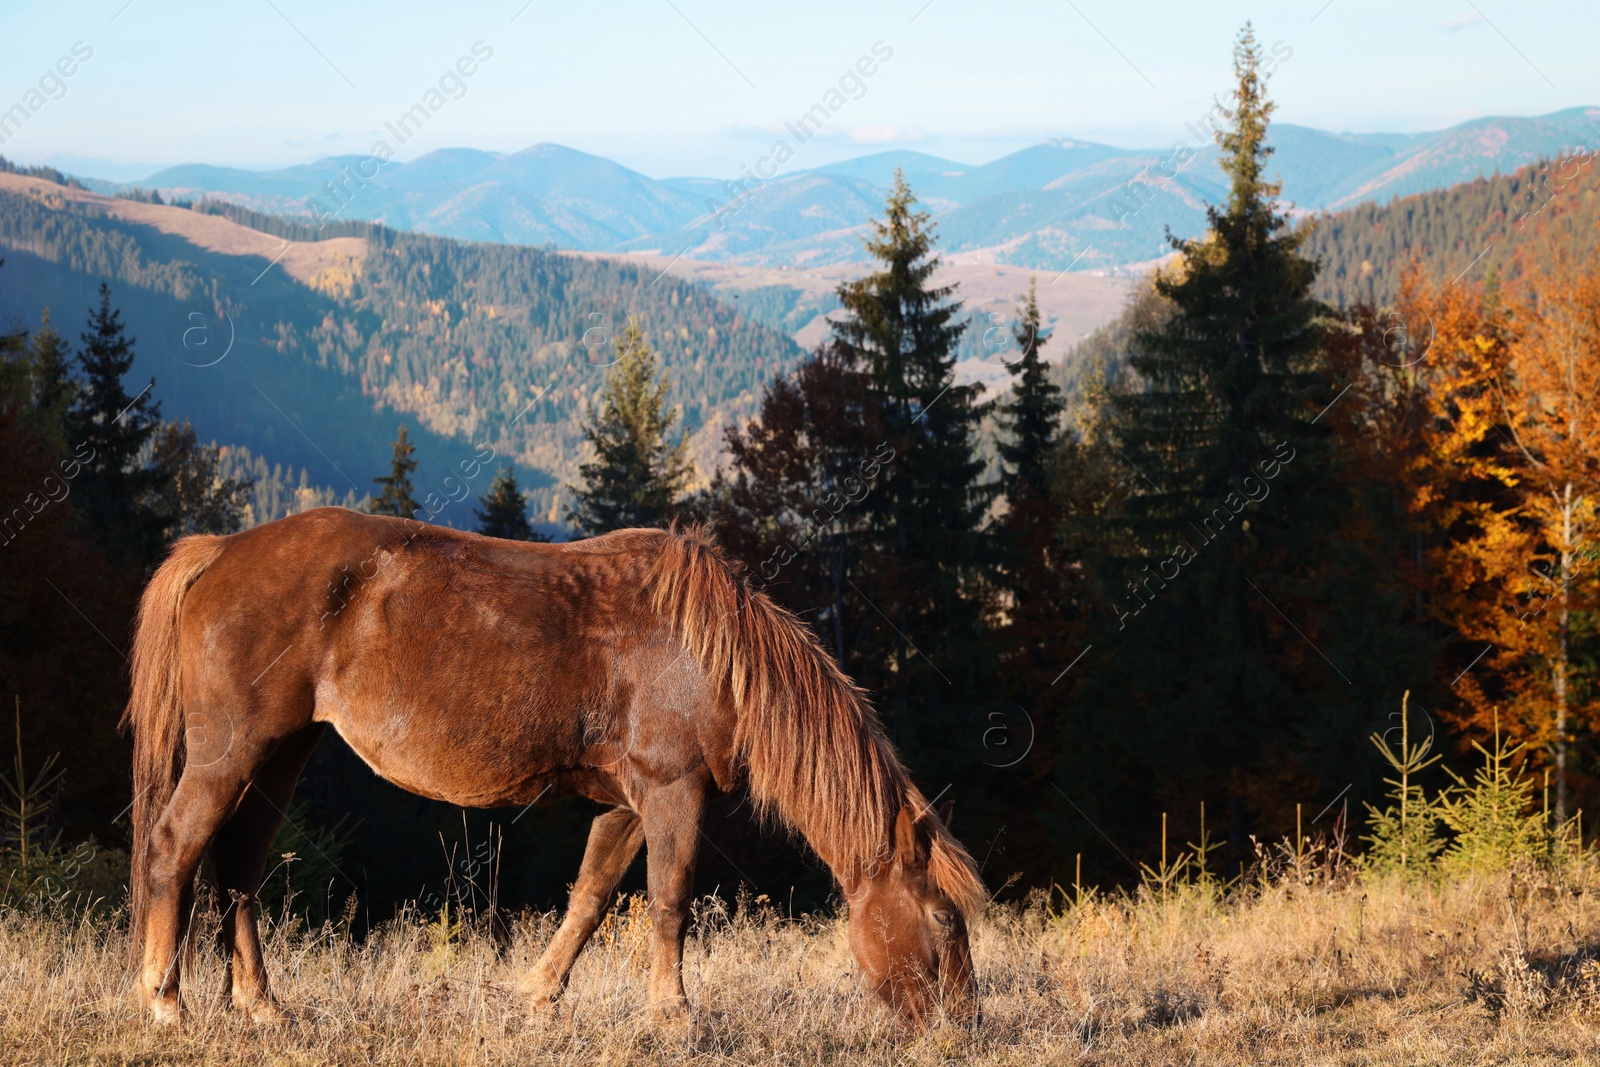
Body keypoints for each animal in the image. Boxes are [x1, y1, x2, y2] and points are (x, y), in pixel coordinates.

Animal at [124, 511, 979, 1036]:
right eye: (944, 920)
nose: (964, 1026)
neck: (711, 651)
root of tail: (220, 550)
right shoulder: (675, 792)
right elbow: (670, 903)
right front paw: (676, 1015)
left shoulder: (631, 803)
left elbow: (592, 897)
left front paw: (537, 994)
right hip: (231, 751)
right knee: (173, 847)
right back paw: (165, 1001)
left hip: (281, 753)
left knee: (239, 867)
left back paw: (263, 1006)